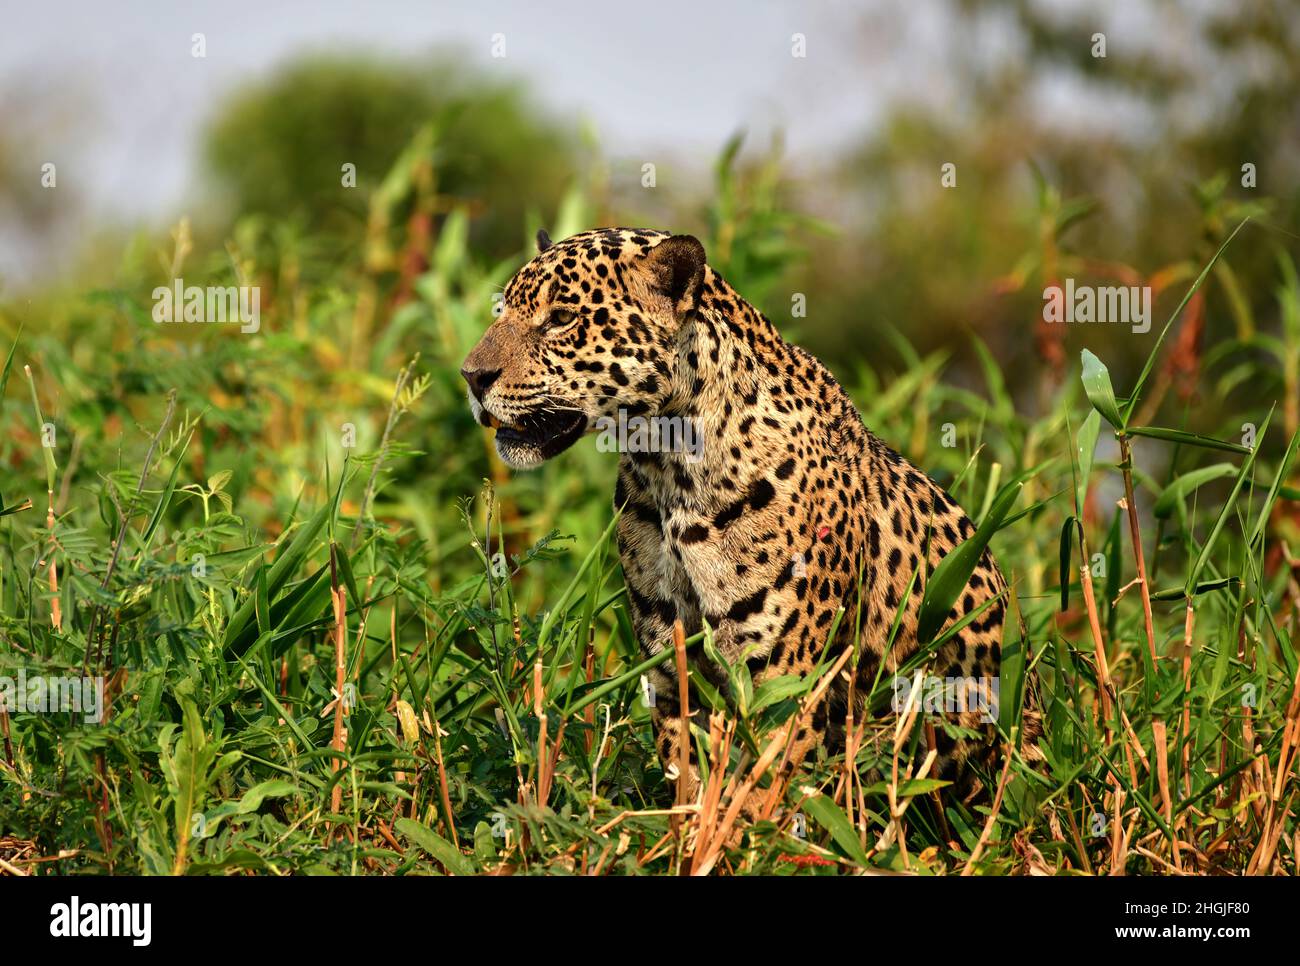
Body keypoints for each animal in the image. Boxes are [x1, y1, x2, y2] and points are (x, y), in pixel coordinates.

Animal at [462, 227, 1029, 806]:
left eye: (561, 318)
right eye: (504, 309)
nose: (471, 376)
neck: (668, 471)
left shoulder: (782, 679)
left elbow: (757, 793)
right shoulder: (671, 663)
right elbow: (690, 782)